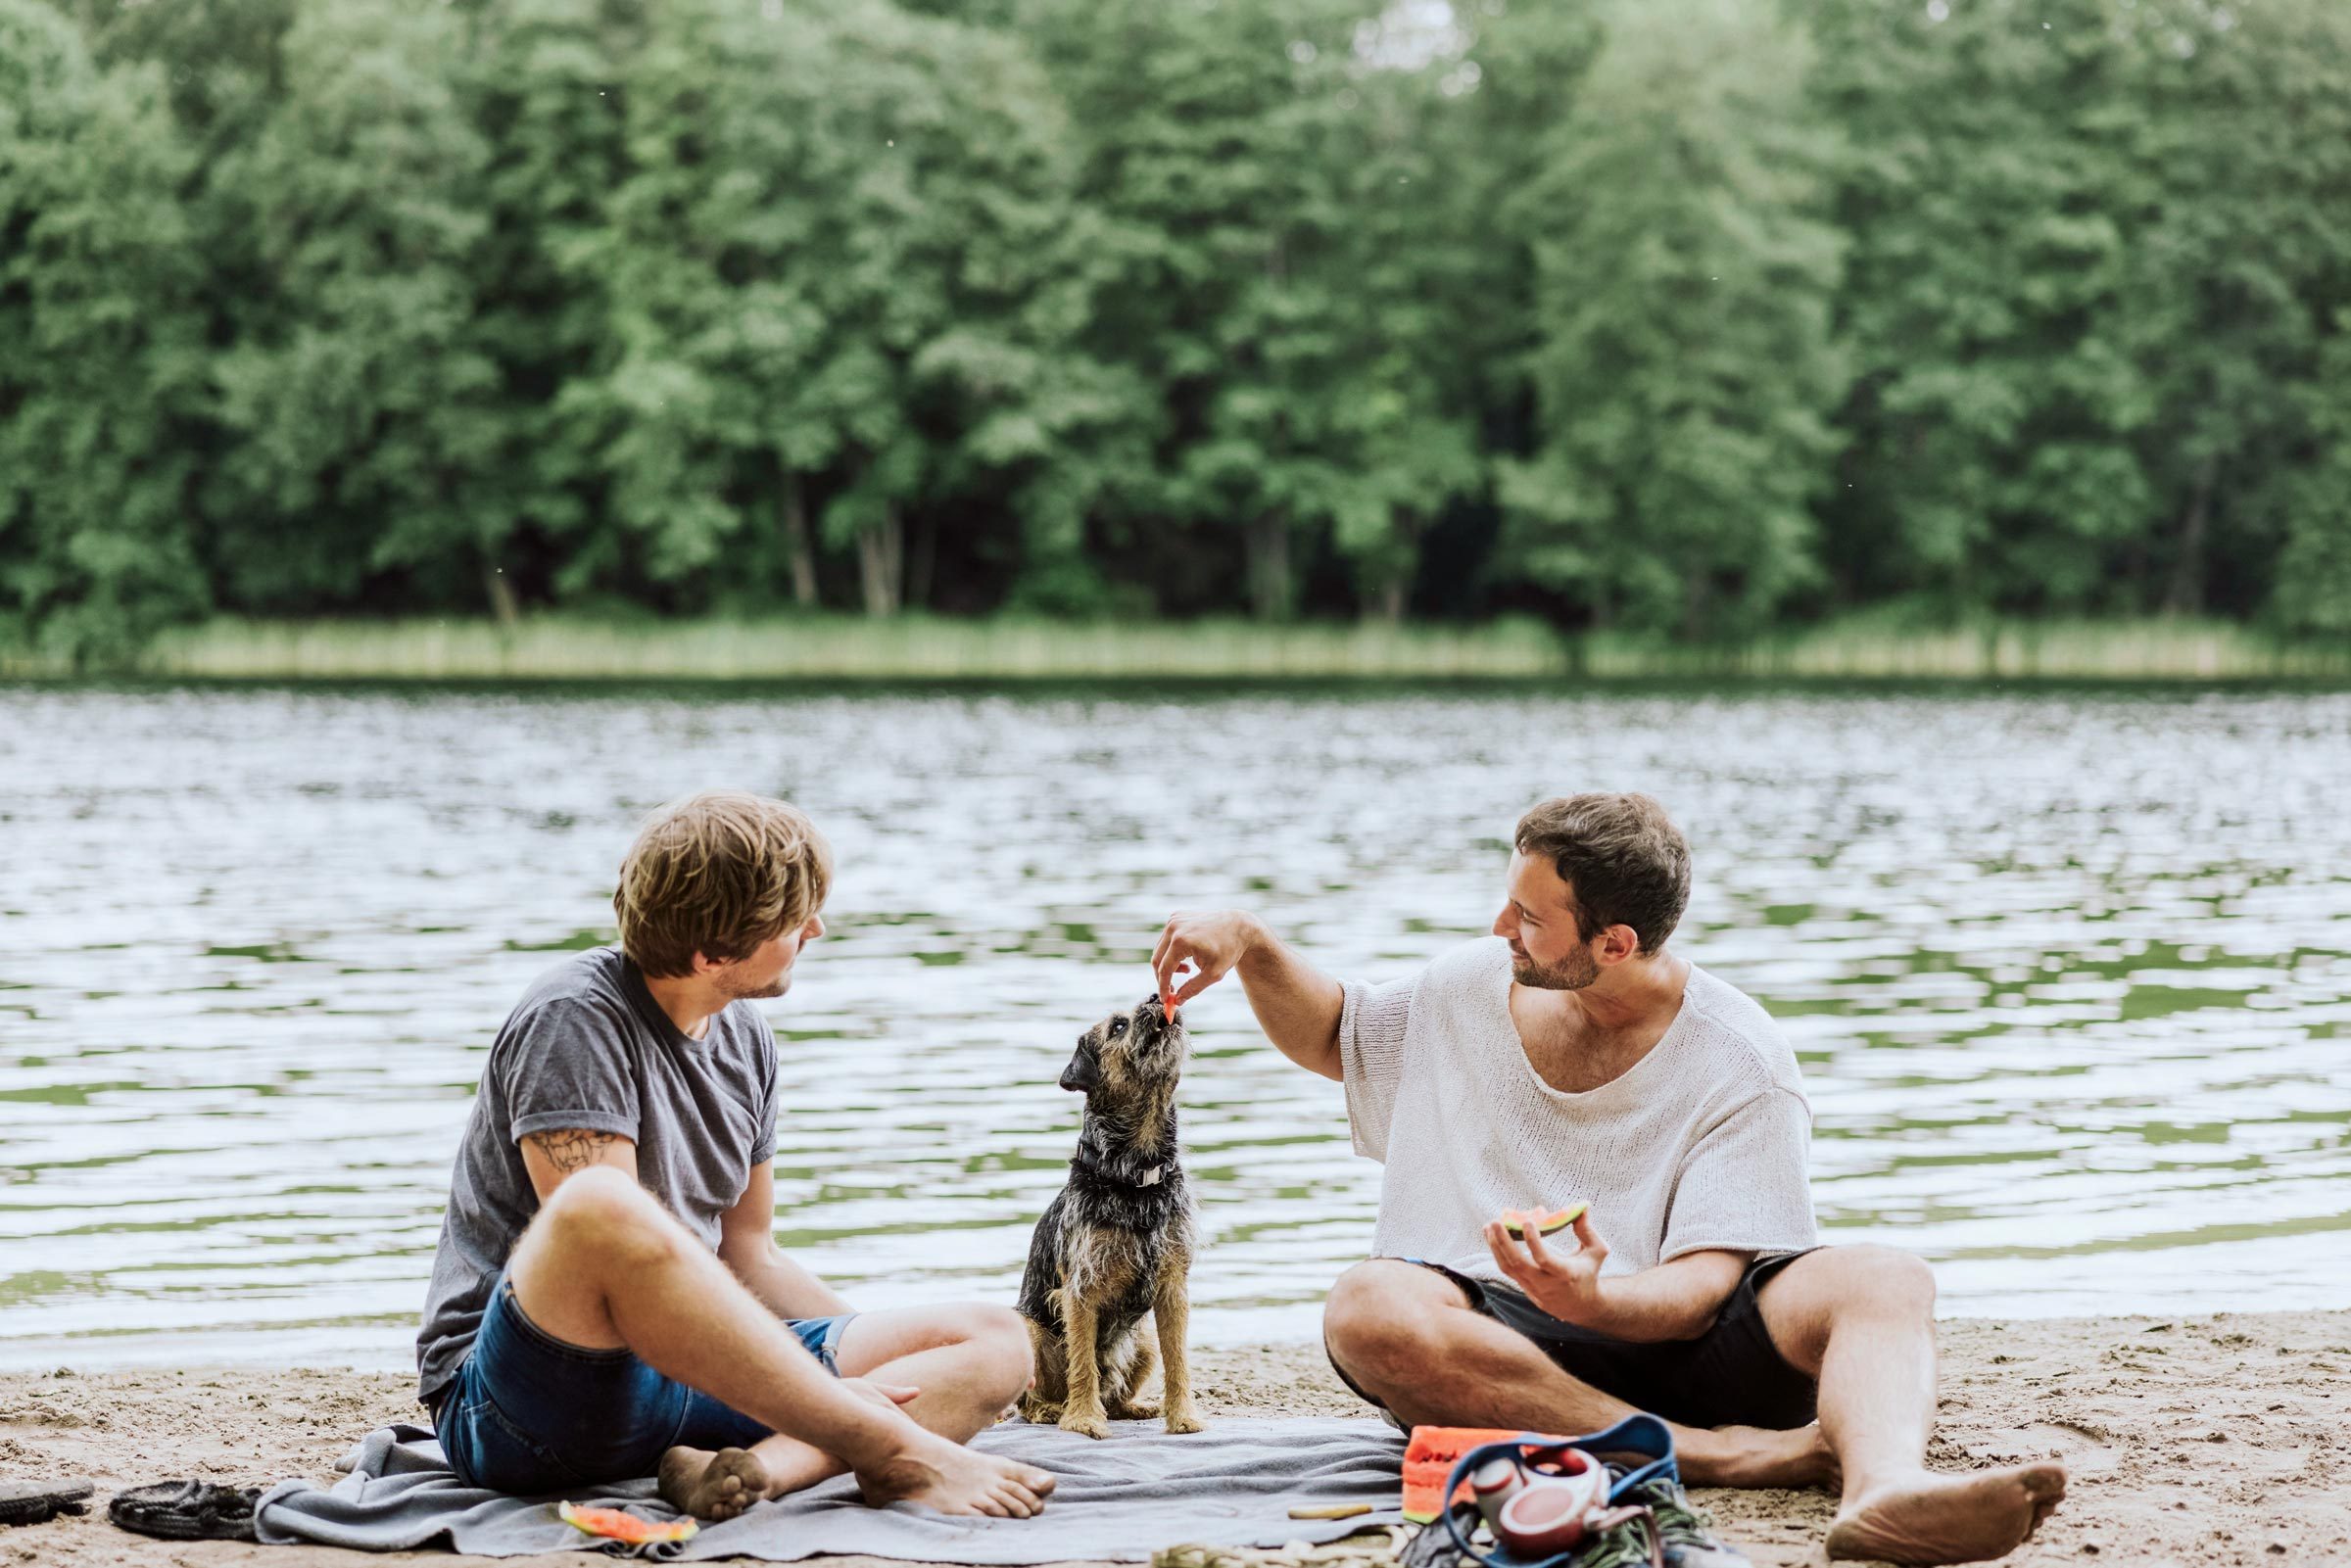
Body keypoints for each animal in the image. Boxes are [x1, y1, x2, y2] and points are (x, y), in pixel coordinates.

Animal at [1011, 1001, 1203, 1438]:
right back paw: (1052, 1410)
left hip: (1143, 1338)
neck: (1136, 1173)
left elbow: (1178, 1359)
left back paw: (1138, 1407)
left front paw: (1183, 1417)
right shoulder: (1080, 1290)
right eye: (1117, 1026)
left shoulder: (1173, 1287)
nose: (1157, 997)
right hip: (1025, 1330)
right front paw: (1083, 1419)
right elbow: (1082, 1361)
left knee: (1117, 1396)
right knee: (1031, 1400)